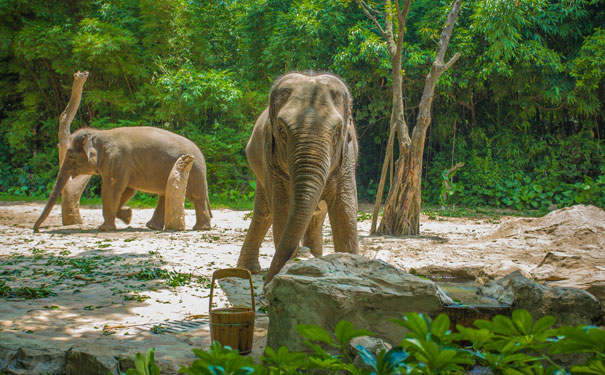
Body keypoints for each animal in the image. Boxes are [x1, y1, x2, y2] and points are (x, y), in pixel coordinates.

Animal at [34, 126, 212, 232]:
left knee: (196, 197)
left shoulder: (116, 161)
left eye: (70, 154)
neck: (100, 133)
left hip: (193, 172)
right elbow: (127, 189)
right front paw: (127, 216)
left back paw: (200, 228)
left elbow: (112, 188)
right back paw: (152, 227)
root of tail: (201, 154)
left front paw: (104, 229)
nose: (36, 229)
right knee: (165, 195)